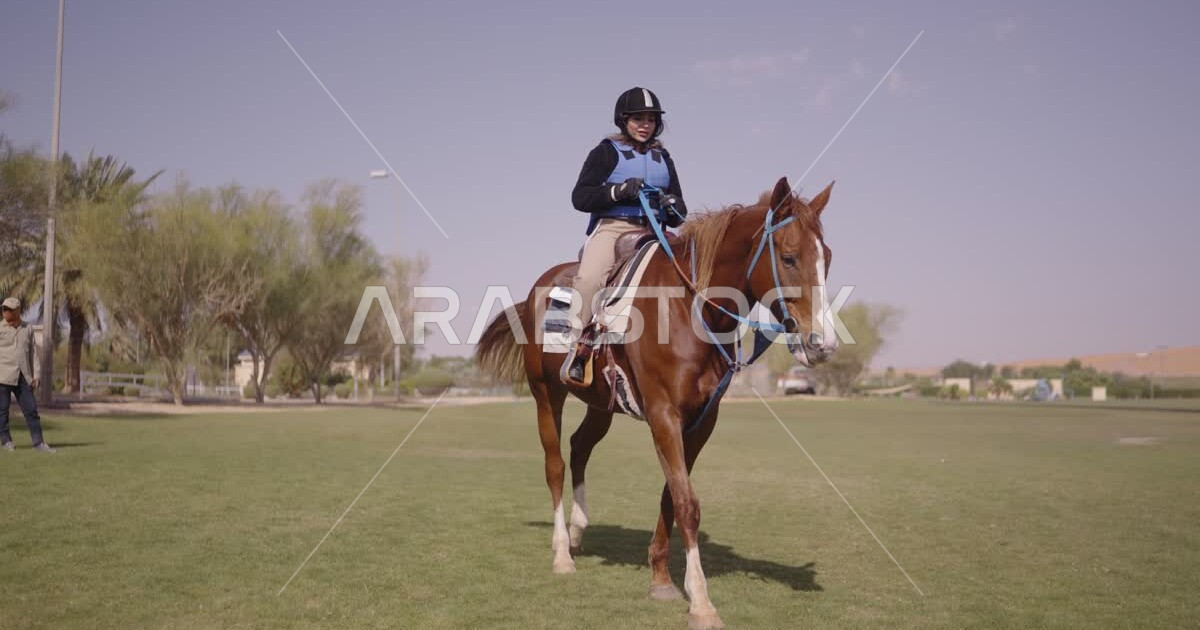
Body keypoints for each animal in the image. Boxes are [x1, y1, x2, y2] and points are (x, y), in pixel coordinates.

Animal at [475, 176, 838, 630]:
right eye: (788, 257)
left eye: (827, 258)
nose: (823, 344)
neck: (688, 310)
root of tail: (535, 294)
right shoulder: (664, 415)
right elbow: (687, 502)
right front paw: (701, 601)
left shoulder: (700, 422)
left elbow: (672, 495)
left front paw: (662, 579)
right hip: (546, 395)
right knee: (555, 465)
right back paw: (561, 552)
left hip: (601, 404)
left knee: (579, 447)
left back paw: (577, 530)